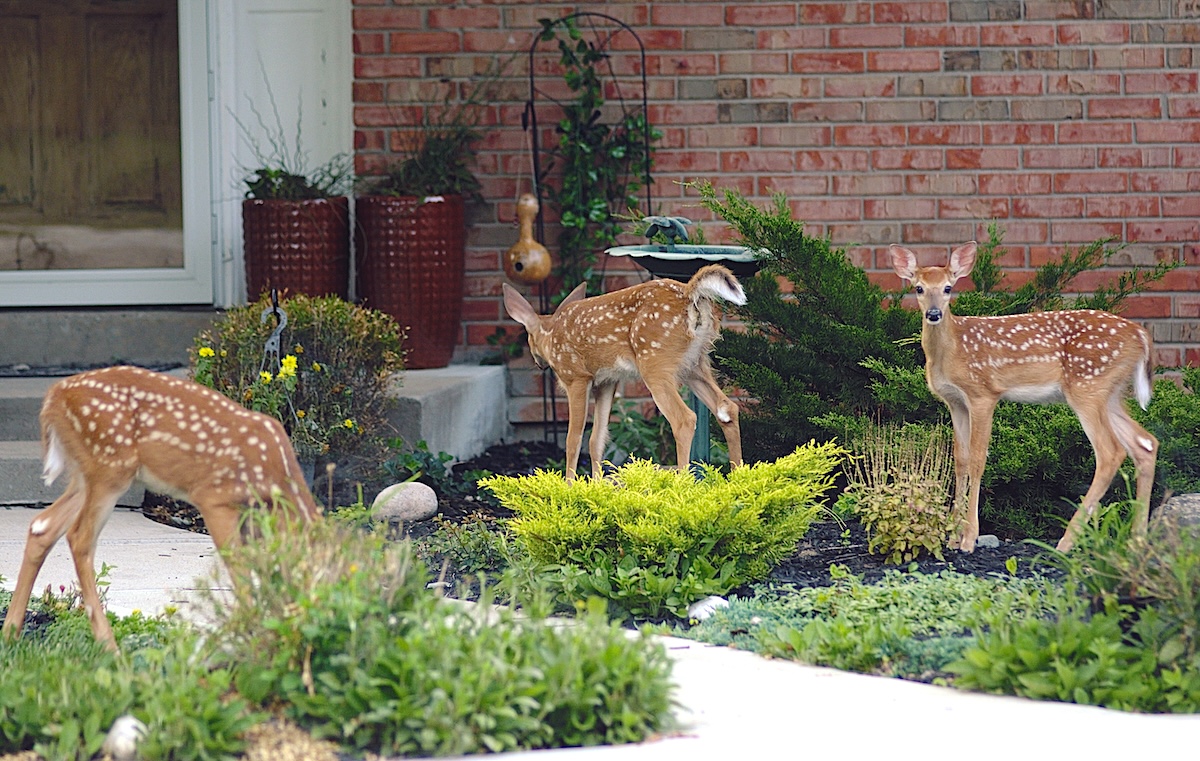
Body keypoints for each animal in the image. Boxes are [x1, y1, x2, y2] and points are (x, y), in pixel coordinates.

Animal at [1, 365, 321, 650]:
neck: (275, 477)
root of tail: (54, 395)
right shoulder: (214, 497)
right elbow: (239, 570)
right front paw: (251, 637)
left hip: (85, 474)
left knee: (42, 526)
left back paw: (11, 633)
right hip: (110, 467)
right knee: (79, 537)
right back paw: (109, 646)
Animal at [502, 264, 746, 480]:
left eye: (528, 337)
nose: (539, 363)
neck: (551, 334)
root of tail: (689, 293)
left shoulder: (576, 377)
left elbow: (573, 439)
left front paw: (569, 486)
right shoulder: (607, 381)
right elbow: (596, 439)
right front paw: (596, 487)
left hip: (655, 362)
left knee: (684, 419)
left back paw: (682, 485)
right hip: (694, 364)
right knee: (727, 408)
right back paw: (737, 481)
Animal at [888, 241, 1158, 553]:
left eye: (947, 288)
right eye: (919, 288)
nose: (933, 314)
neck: (951, 351)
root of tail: (1141, 335)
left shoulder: (983, 394)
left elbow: (978, 459)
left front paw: (969, 538)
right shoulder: (955, 402)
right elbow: (960, 460)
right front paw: (952, 536)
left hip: (1087, 385)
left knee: (1111, 452)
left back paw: (1066, 542)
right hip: (1109, 392)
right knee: (1145, 443)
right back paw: (1137, 541)